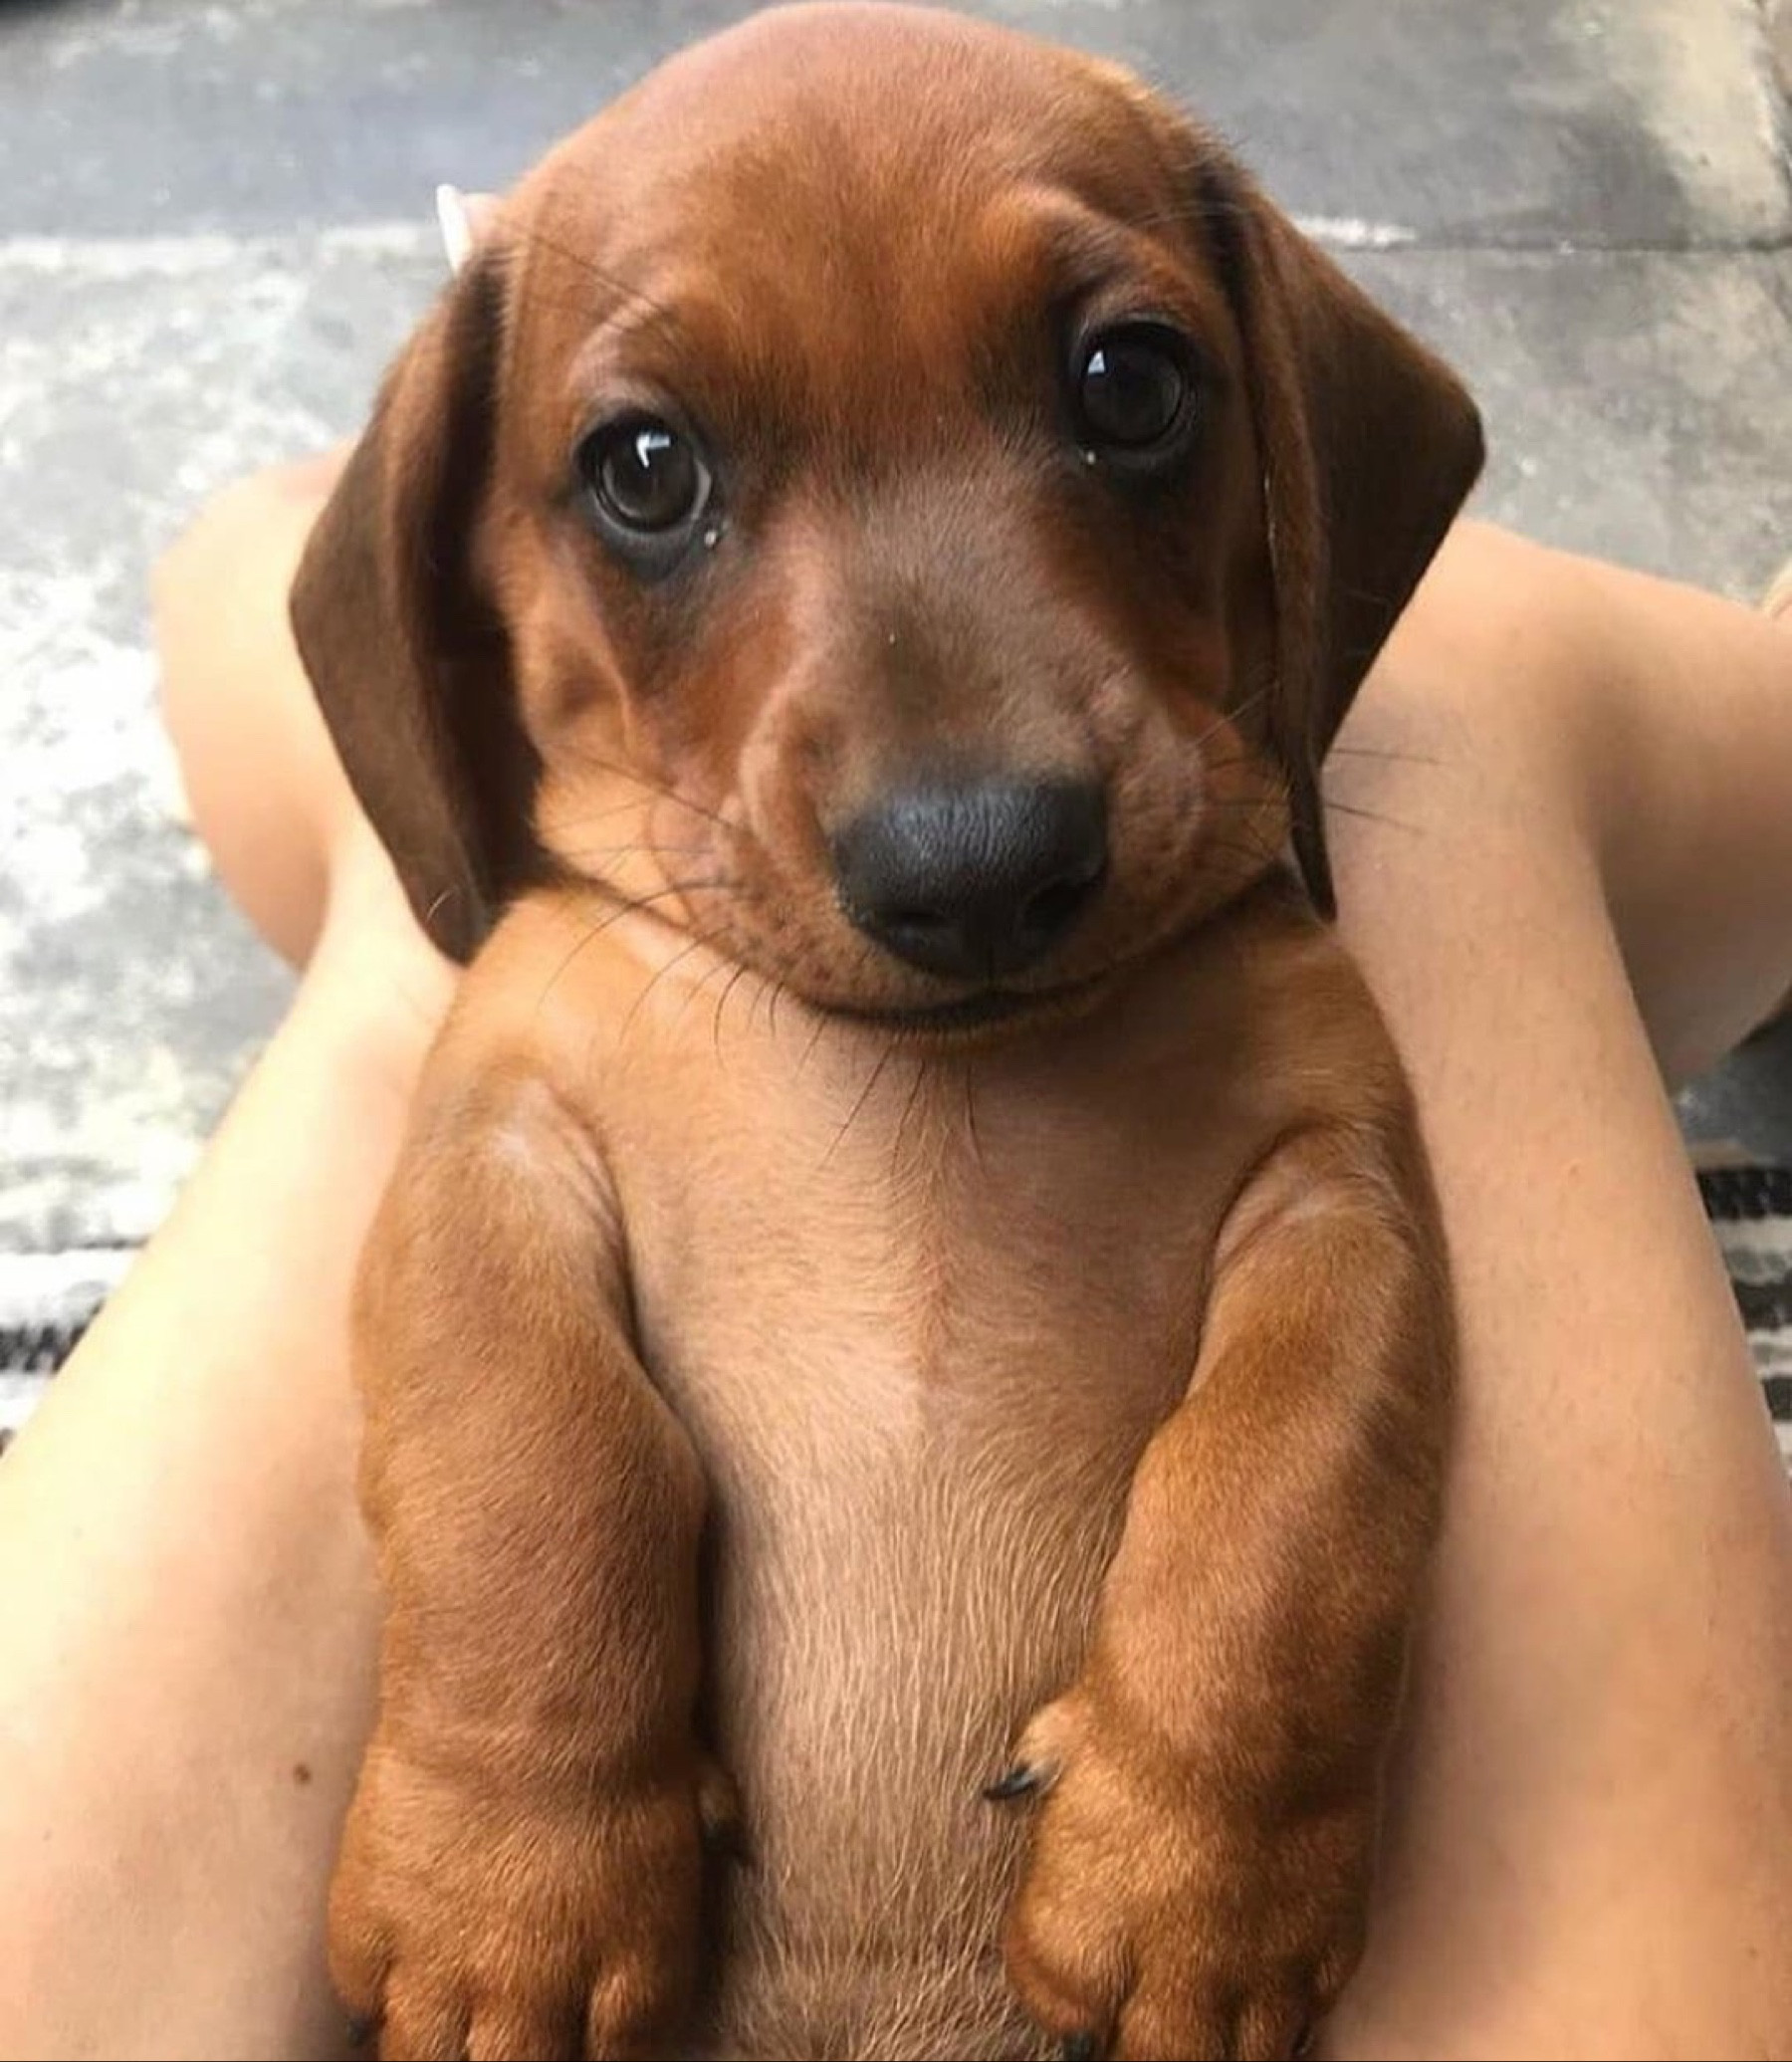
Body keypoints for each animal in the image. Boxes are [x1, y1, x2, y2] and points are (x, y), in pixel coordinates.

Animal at [290, 6, 1481, 2056]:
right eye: (643, 468)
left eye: (1131, 379)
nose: (977, 866)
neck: (935, 1077)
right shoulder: (491, 1151)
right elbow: (540, 1452)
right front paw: (509, 1875)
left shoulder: (1342, 1188)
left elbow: (1285, 1497)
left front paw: (1193, 1878)